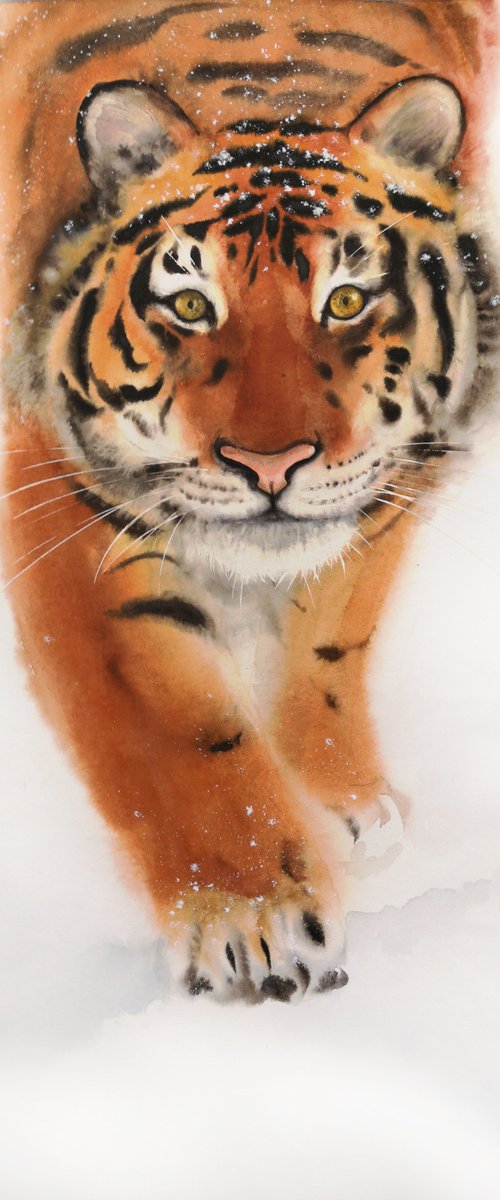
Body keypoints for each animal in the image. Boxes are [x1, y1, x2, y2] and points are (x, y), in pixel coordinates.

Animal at [1, 0, 498, 1001]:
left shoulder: (390, 484)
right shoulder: (70, 506)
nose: (269, 464)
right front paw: (254, 921)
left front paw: (348, 807)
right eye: (190, 306)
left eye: (345, 300)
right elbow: (177, 731)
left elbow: (330, 644)